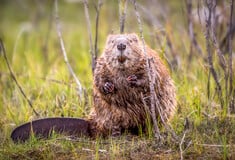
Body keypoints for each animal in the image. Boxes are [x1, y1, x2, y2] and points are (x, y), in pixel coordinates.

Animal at [11, 33, 176, 142]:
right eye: (112, 41)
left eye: (131, 40)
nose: (121, 45)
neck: (123, 70)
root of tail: (90, 124)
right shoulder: (101, 63)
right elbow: (98, 79)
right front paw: (108, 86)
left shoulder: (149, 60)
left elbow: (152, 77)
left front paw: (133, 80)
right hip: (107, 116)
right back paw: (116, 134)